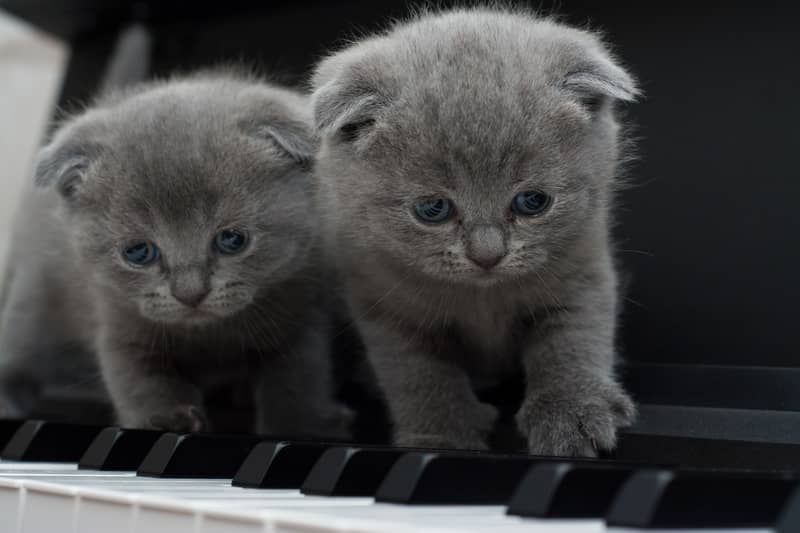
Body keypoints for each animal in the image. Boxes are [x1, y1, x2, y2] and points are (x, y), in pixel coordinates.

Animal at [0, 71, 350, 436]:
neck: (210, 336)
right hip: (38, 297)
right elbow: (139, 380)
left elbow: (298, 380)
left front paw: (303, 425)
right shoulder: (117, 320)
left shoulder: (302, 312)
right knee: (19, 349)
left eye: (232, 239)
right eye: (138, 252)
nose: (190, 293)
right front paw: (167, 419)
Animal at [310, 8, 640, 456]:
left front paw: (572, 412)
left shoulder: (582, 267)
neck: (482, 298)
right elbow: (418, 374)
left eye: (533, 201)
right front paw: (441, 435)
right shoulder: (379, 298)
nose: (487, 255)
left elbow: (573, 339)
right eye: (433, 209)